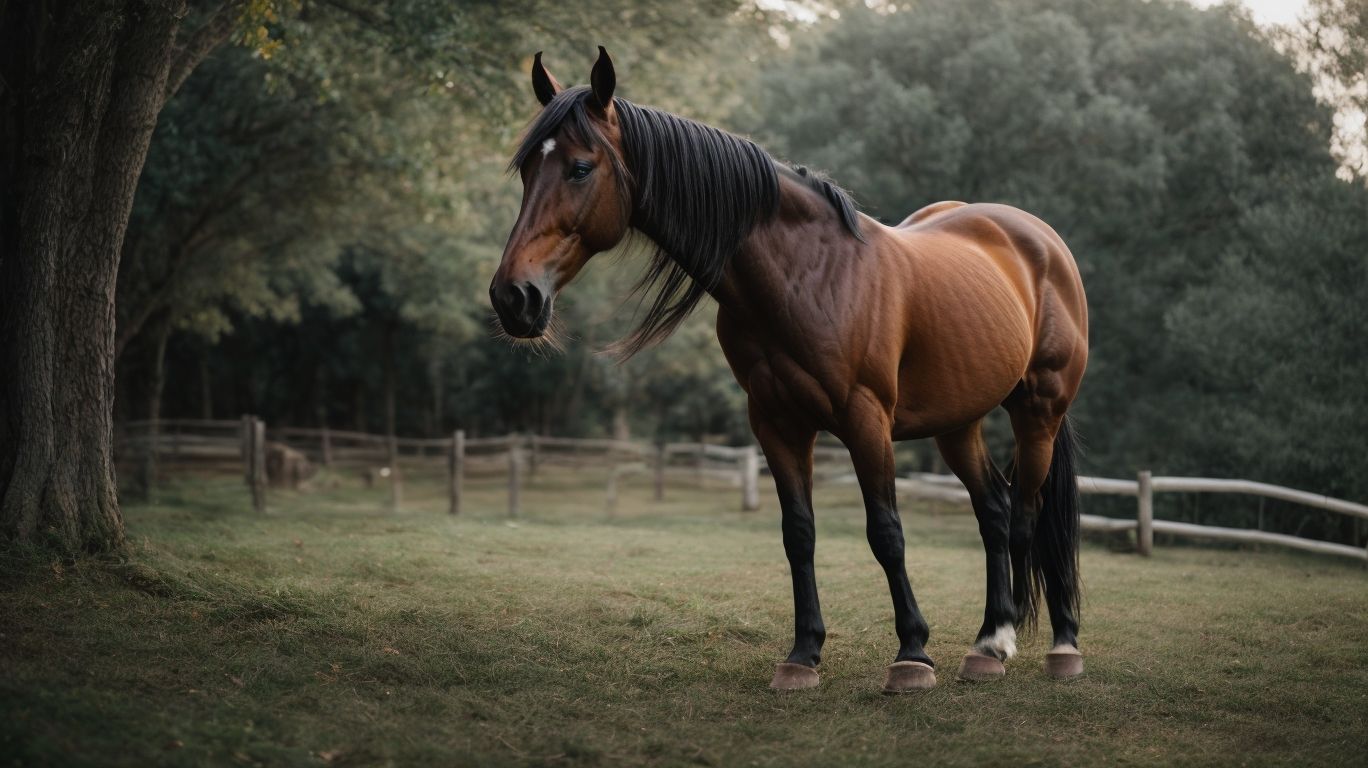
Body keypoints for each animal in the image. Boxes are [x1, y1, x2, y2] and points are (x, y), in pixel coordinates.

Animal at [490, 47, 1088, 693]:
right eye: (528, 172)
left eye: (579, 168)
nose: (513, 297)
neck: (808, 275)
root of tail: (1037, 237)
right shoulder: (776, 422)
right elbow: (798, 534)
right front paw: (803, 654)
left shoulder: (865, 419)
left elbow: (886, 532)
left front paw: (911, 653)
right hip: (958, 423)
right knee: (995, 513)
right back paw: (988, 644)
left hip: (1039, 411)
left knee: (1030, 517)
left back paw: (1057, 646)